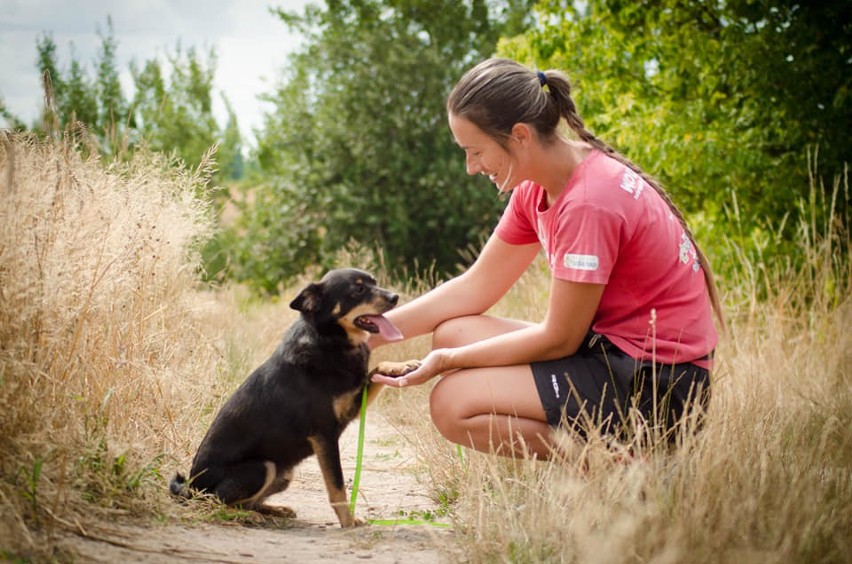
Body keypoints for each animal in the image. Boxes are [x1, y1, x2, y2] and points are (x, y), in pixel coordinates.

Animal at [169, 266, 420, 528]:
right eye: (358, 289)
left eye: (375, 282)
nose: (395, 297)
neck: (330, 340)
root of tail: (190, 487)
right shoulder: (324, 435)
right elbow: (337, 488)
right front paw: (348, 521)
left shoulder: (352, 405)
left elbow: (377, 370)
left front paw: (401, 367)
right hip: (262, 467)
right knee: (216, 503)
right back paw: (248, 516)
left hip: (284, 473)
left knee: (247, 502)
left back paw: (273, 510)